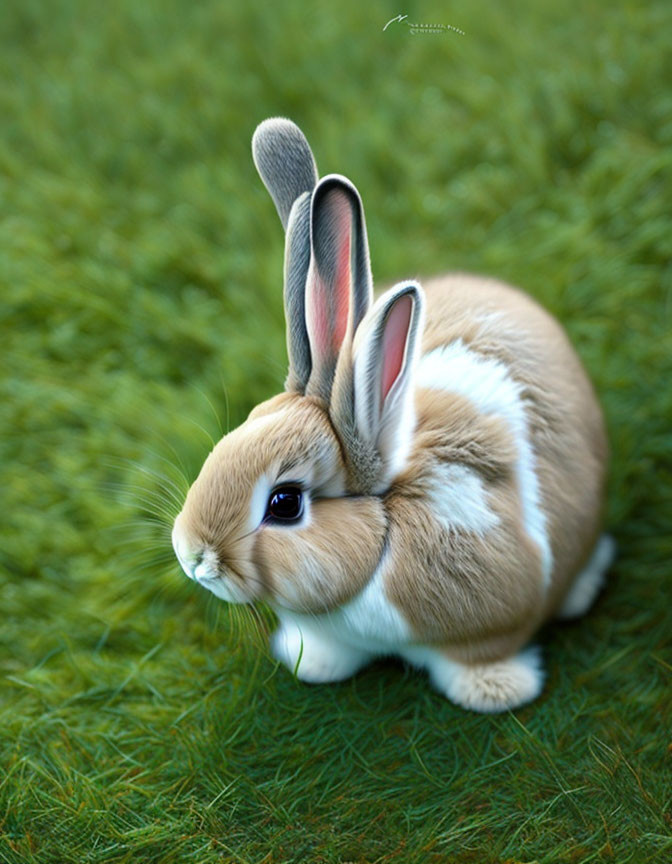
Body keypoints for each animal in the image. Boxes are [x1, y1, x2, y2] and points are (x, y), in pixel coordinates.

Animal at [171, 118, 612, 712]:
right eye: (229, 438)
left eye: (285, 504)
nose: (192, 556)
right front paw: (312, 665)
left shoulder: (490, 626)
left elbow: (483, 655)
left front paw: (495, 692)